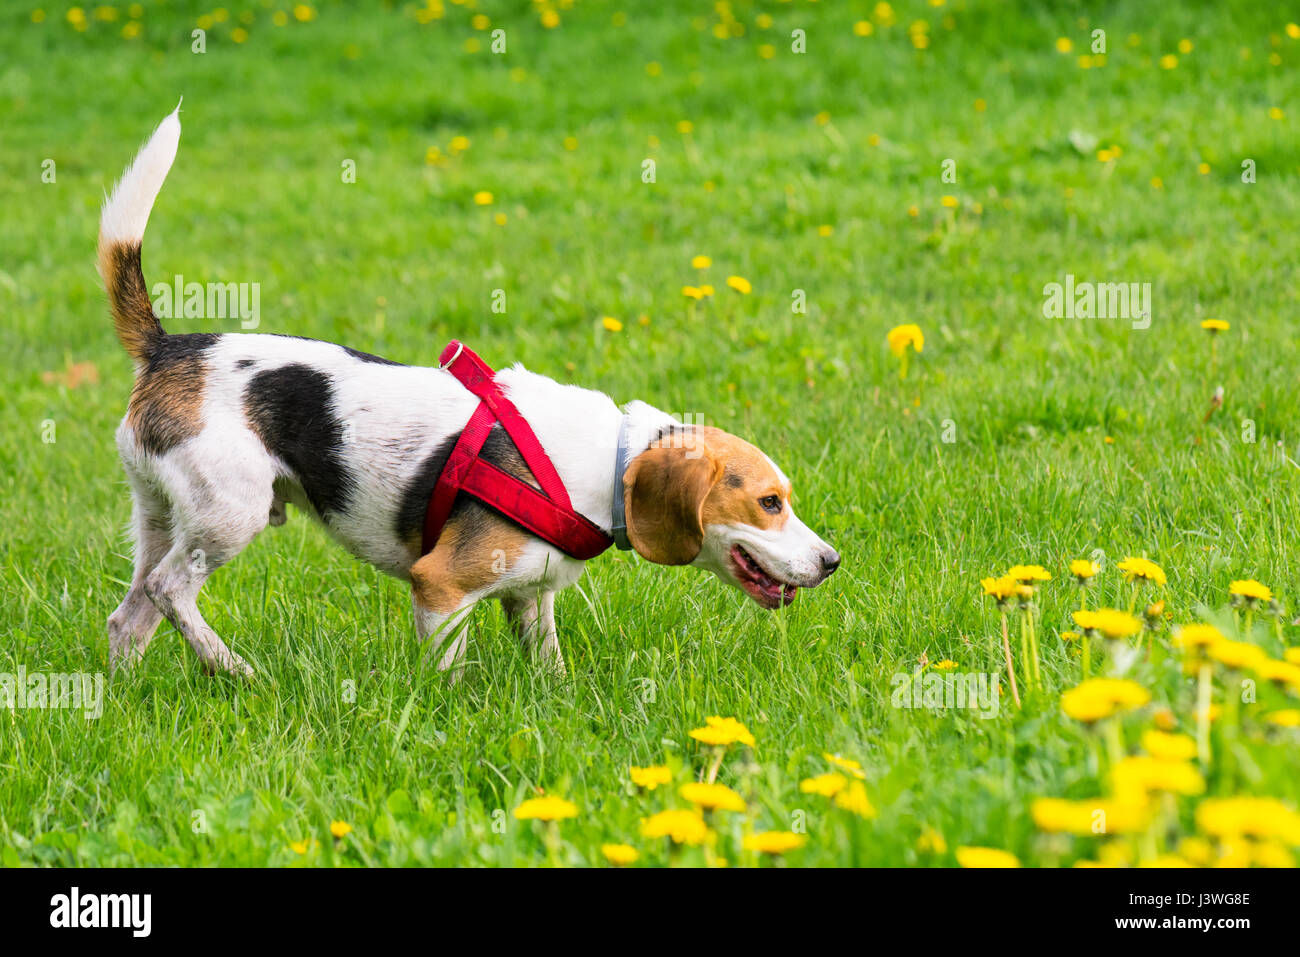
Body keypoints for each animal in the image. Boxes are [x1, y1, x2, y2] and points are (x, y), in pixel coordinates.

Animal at [96, 106, 837, 681]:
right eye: (768, 503)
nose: (832, 562)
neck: (611, 462)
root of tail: (170, 346)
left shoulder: (530, 597)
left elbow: (549, 665)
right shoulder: (441, 587)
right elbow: (446, 671)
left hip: (163, 514)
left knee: (129, 616)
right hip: (230, 513)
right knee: (168, 591)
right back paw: (234, 668)